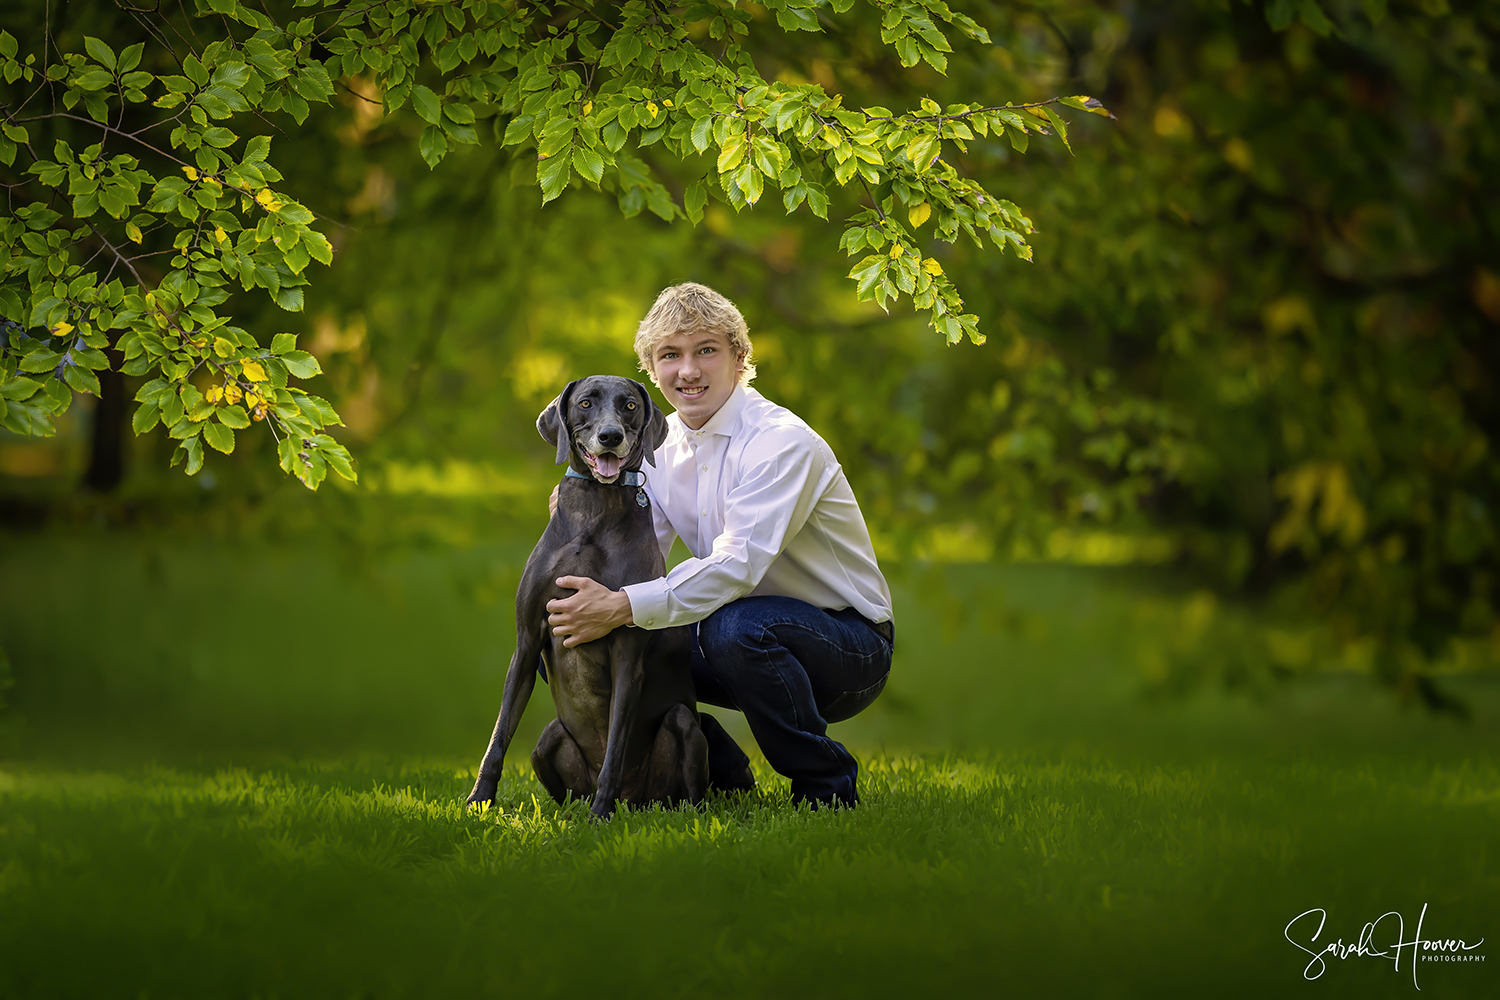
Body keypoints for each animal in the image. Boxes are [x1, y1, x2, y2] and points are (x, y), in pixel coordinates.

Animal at [465, 374, 705, 821]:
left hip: (684, 726)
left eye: (630, 405)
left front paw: (600, 815)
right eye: (586, 403)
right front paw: (478, 801)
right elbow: (498, 736)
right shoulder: (527, 642)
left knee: (691, 788)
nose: (610, 436)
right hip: (547, 740)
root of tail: (636, 802)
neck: (595, 506)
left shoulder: (628, 655)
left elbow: (615, 746)